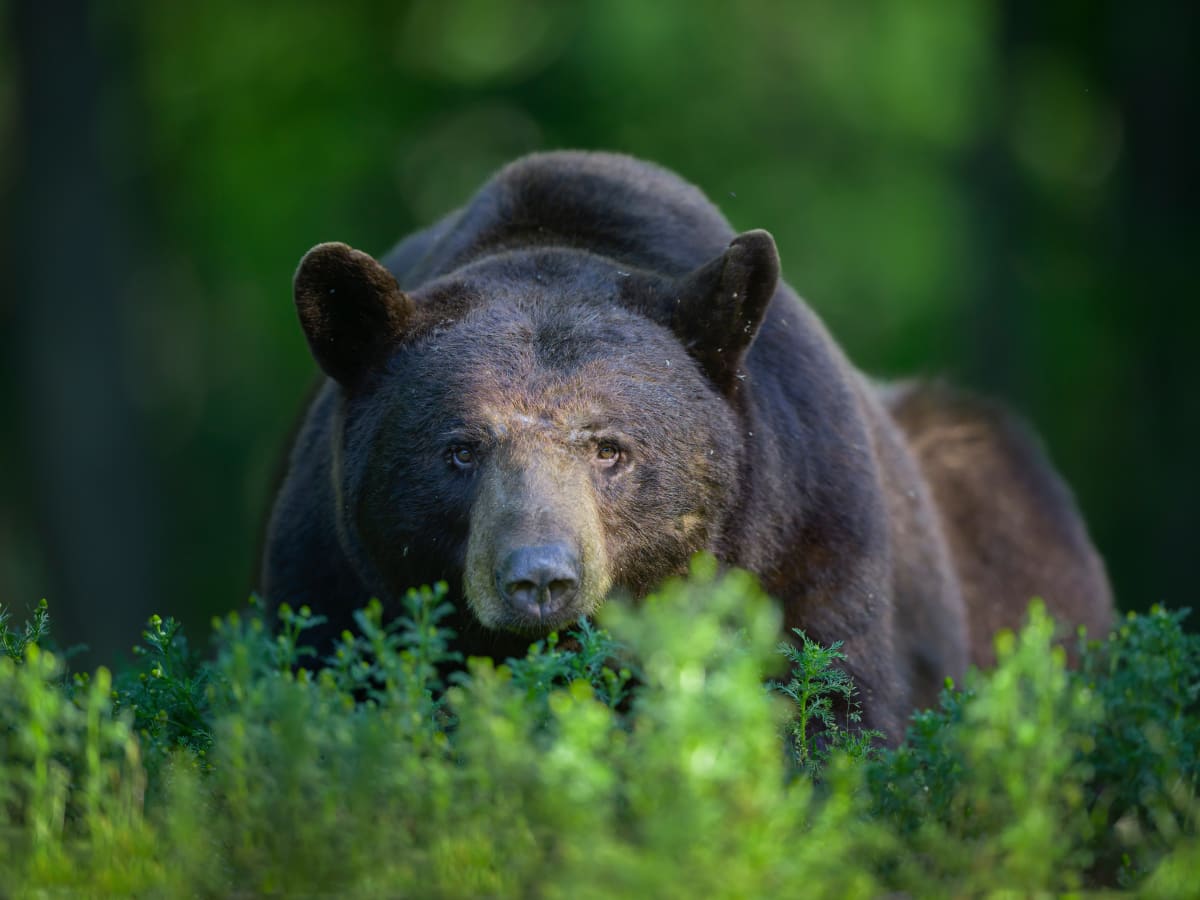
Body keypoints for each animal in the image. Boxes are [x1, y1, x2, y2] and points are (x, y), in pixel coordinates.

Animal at [262, 150, 1113, 739]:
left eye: (610, 448)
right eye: (461, 449)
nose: (540, 580)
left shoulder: (810, 532)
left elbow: (829, 705)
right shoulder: (331, 572)